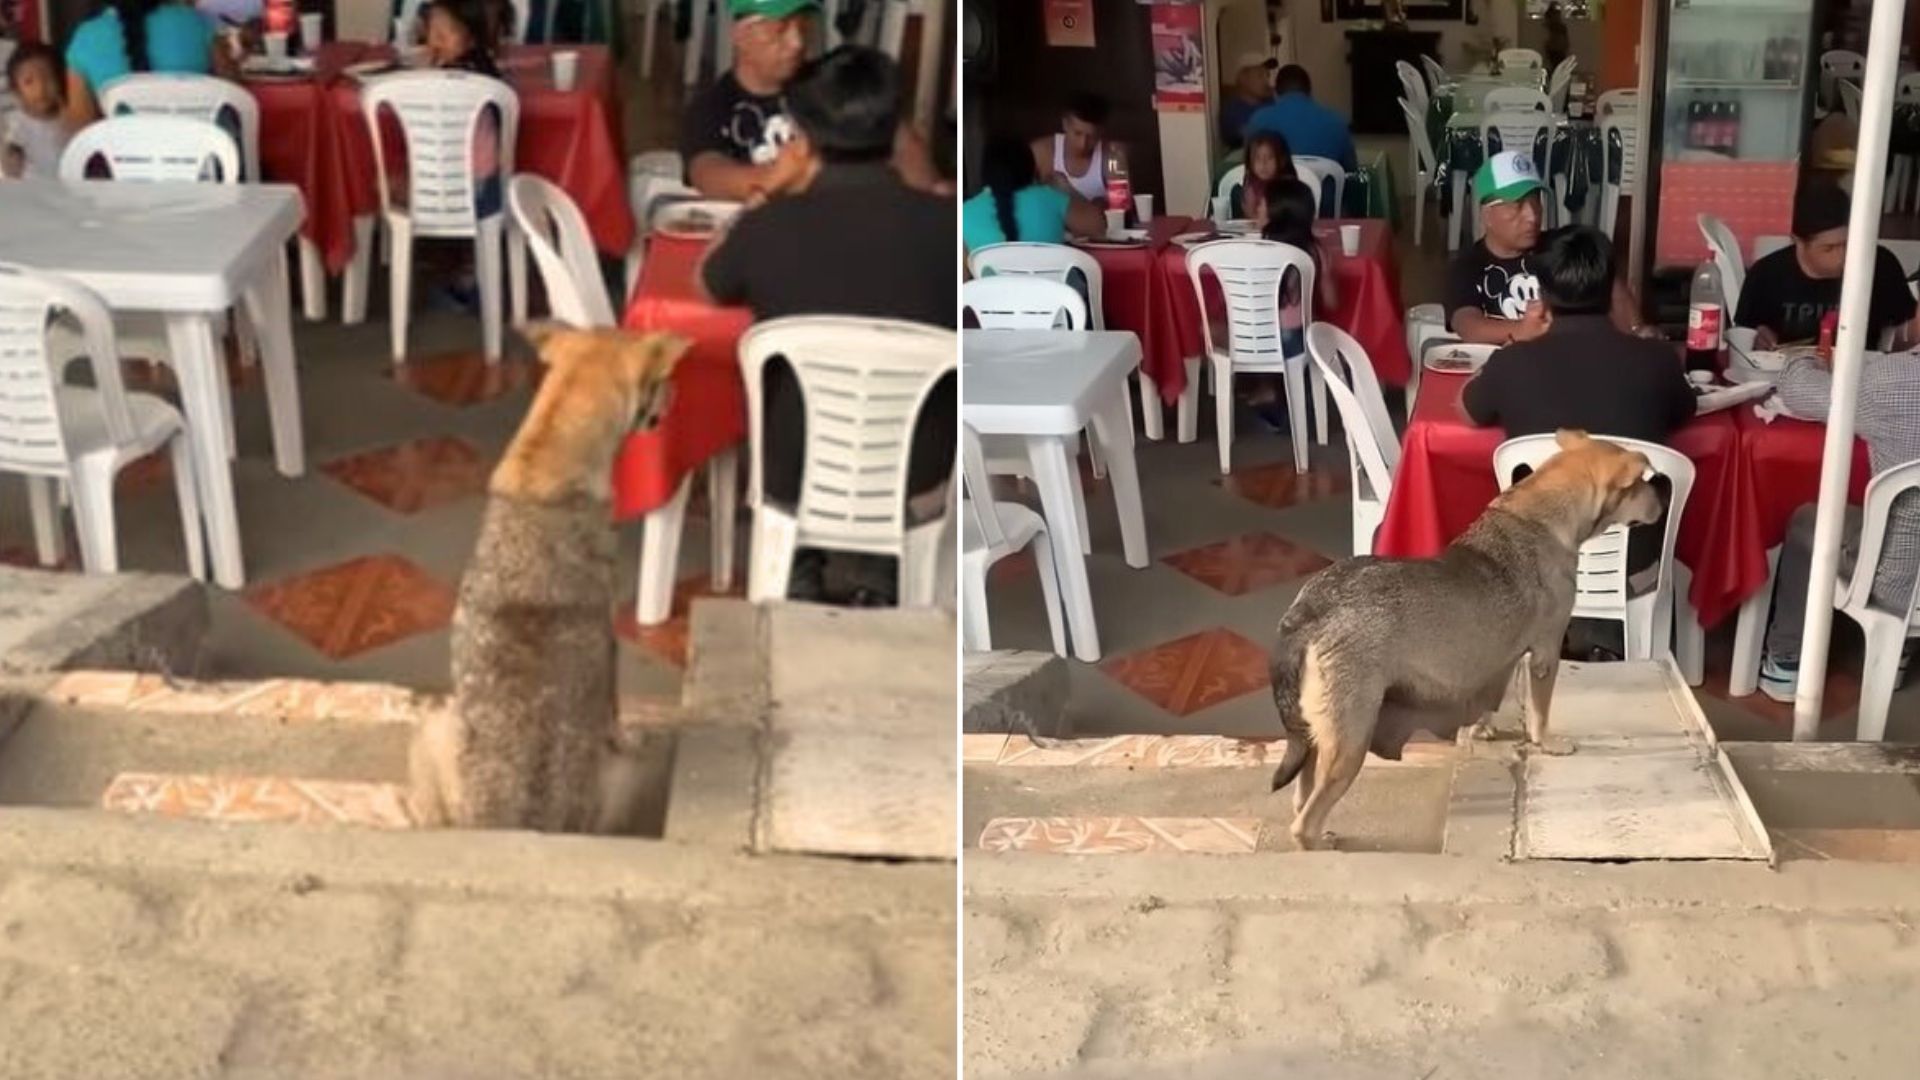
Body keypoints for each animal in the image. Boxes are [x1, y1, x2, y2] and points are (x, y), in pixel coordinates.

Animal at [408, 322, 695, 826]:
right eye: (661, 381)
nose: (677, 393)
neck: (545, 460)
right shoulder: (612, 643)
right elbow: (615, 714)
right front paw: (630, 733)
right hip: (436, 728)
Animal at [1259, 428, 1666, 849]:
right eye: (1640, 484)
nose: (1664, 500)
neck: (1542, 516)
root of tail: (1308, 609)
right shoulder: (1546, 651)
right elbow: (1540, 713)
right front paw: (1547, 743)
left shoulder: (1500, 657)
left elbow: (1490, 695)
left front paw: (1481, 729)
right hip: (1350, 739)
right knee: (1305, 820)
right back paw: (1319, 842)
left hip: (1316, 733)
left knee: (1301, 792)